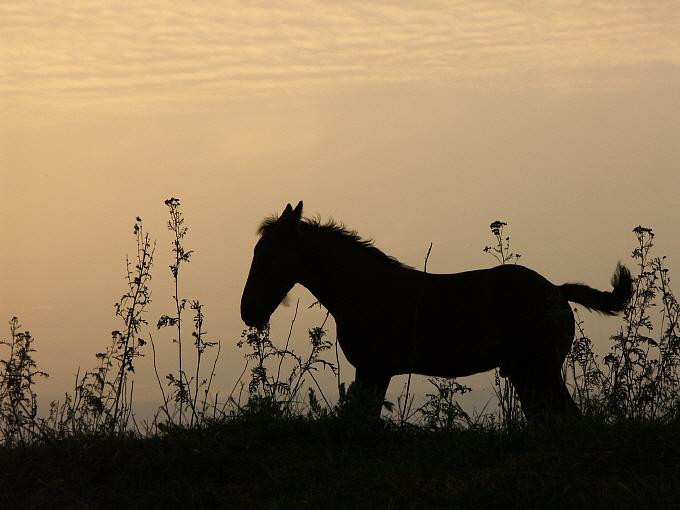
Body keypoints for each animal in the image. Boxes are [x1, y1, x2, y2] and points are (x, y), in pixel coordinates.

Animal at [240, 202, 632, 422]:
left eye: (267, 255)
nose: (248, 311)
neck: (365, 289)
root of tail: (557, 290)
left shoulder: (374, 369)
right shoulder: (374, 371)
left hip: (540, 371)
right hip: (527, 374)